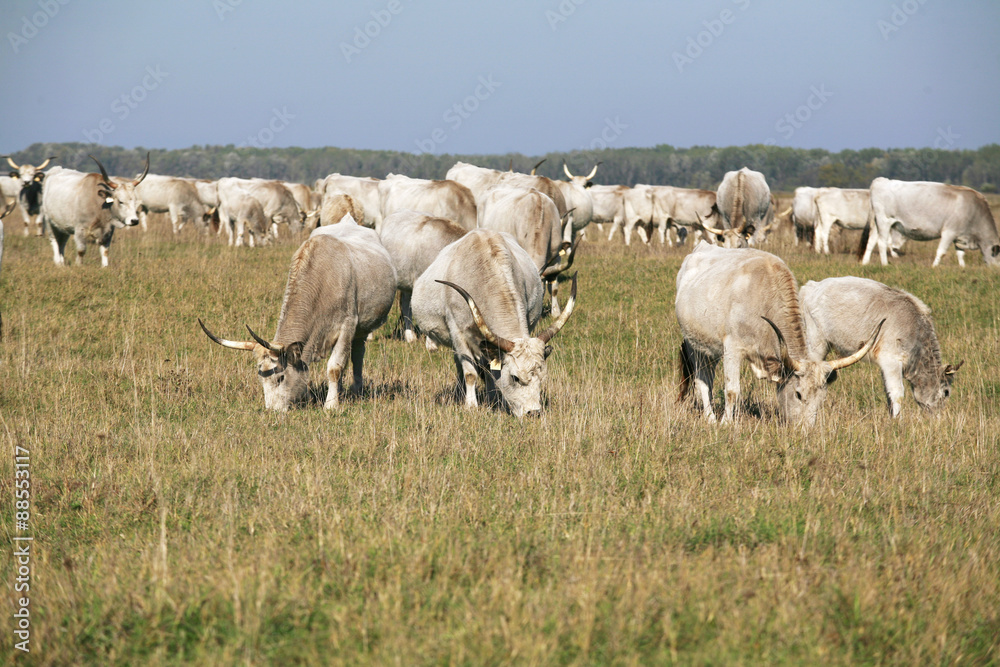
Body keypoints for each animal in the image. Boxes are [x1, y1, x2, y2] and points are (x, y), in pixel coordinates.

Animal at [199, 216, 397, 411]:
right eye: (261, 379)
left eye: (280, 378)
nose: (272, 411)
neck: (324, 281)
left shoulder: (347, 327)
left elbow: (335, 367)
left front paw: (331, 405)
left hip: (363, 328)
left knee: (357, 354)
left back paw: (356, 389)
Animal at [411, 229, 578, 418]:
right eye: (515, 377)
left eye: (542, 377)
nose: (533, 412)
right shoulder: (458, 332)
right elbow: (470, 372)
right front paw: (471, 405)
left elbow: (491, 371)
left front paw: (494, 401)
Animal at [676, 241, 882, 425]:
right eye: (798, 394)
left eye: (821, 398)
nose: (805, 430)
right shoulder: (732, 348)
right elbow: (732, 390)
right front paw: (725, 423)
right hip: (694, 344)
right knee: (703, 380)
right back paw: (710, 418)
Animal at [800, 276, 962, 418]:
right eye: (946, 392)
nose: (938, 418)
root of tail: (812, 286)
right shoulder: (891, 360)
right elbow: (897, 393)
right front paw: (897, 421)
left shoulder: (886, 365)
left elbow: (888, 393)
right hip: (816, 344)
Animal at [860, 178, 1000, 267]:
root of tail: (881, 180)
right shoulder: (949, 232)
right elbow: (941, 251)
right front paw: (934, 266)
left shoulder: (959, 236)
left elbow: (960, 254)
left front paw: (962, 267)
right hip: (885, 221)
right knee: (882, 243)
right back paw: (884, 264)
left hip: (876, 223)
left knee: (871, 241)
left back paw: (865, 262)